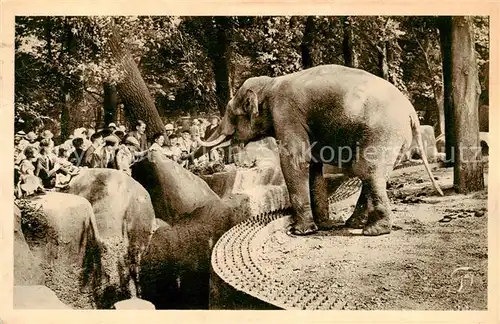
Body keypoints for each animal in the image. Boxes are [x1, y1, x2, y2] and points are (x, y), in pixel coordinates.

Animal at [197, 64, 444, 235]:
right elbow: (314, 165)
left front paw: (301, 231)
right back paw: (353, 223)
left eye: (231, 113)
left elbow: (295, 161)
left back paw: (373, 231)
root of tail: (412, 113)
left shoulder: (286, 113)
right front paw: (324, 225)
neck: (270, 84)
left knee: (367, 170)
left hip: (382, 132)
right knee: (374, 173)